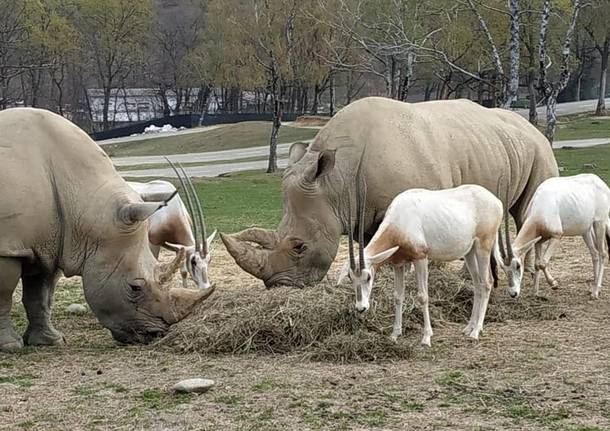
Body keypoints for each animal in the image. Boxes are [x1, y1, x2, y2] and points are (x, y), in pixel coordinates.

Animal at [126, 161, 216, 290]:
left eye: (209, 260)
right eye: (193, 261)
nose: (205, 287)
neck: (170, 212)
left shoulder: (179, 247)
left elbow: (183, 271)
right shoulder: (153, 243)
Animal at [334, 168, 502, 344]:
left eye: (368, 277)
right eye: (350, 277)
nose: (361, 308)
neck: (400, 219)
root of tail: (496, 201)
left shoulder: (420, 258)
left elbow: (423, 296)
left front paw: (426, 337)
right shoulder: (398, 263)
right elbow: (398, 296)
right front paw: (395, 334)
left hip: (483, 246)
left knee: (486, 283)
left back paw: (476, 331)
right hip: (470, 252)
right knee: (477, 284)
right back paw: (469, 327)